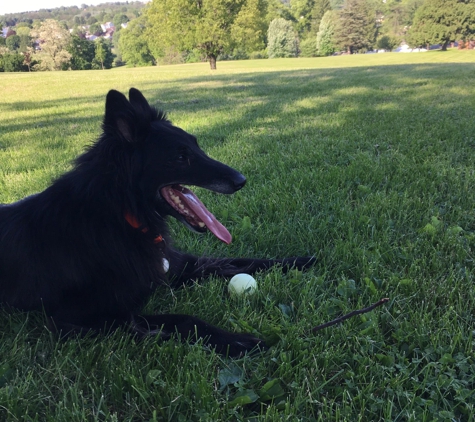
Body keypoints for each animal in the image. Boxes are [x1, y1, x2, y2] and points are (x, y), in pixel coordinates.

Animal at [0, 88, 316, 356]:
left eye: (197, 147)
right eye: (180, 157)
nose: (241, 181)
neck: (118, 215)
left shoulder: (176, 266)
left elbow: (238, 260)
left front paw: (297, 261)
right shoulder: (76, 317)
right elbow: (183, 319)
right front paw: (237, 340)